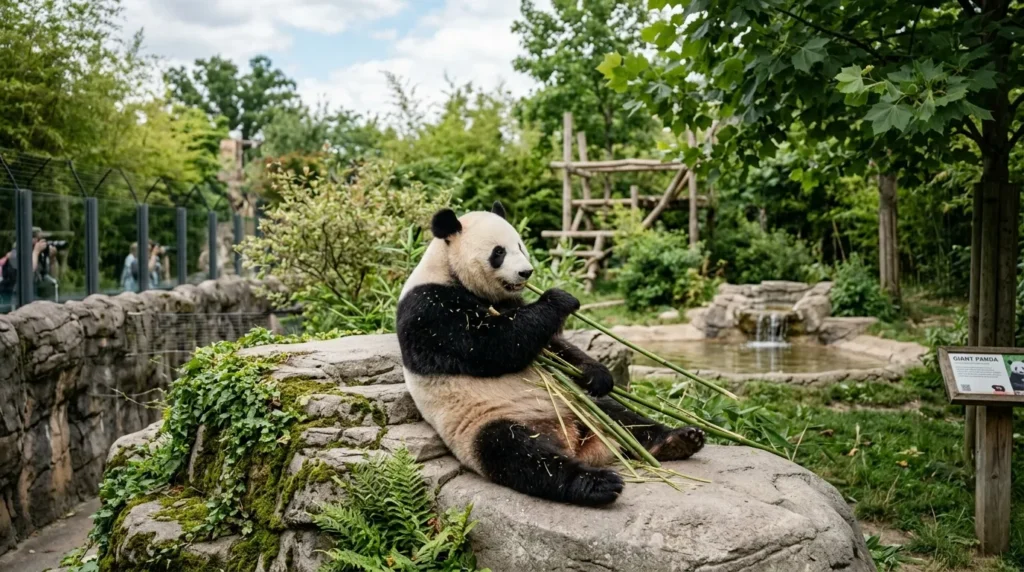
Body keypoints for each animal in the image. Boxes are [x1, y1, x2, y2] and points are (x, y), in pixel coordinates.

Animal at [396, 201, 705, 506]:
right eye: (499, 252)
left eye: (520, 246)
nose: (526, 272)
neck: (449, 271)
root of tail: (573, 439)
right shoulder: (429, 310)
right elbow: (491, 344)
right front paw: (560, 298)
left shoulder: (509, 302)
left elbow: (554, 346)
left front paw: (597, 374)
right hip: (483, 424)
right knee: (521, 455)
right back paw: (596, 483)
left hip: (577, 403)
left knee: (622, 415)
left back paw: (680, 439)